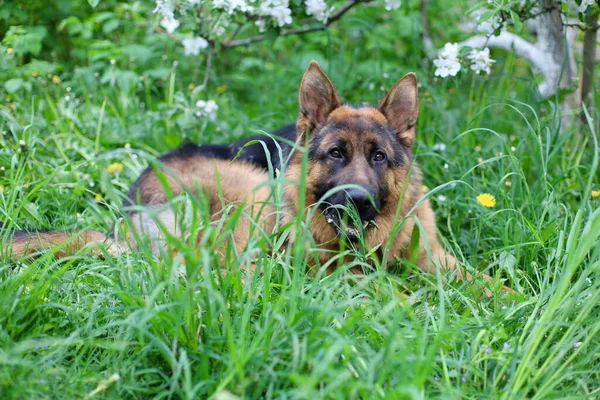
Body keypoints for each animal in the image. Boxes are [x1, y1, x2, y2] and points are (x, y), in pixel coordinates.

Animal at [5, 61, 510, 294]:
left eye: (380, 157)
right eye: (335, 154)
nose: (357, 200)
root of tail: (123, 219)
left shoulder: (438, 260)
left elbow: (490, 285)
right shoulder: (339, 268)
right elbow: (381, 285)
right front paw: (407, 301)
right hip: (253, 191)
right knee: (233, 273)